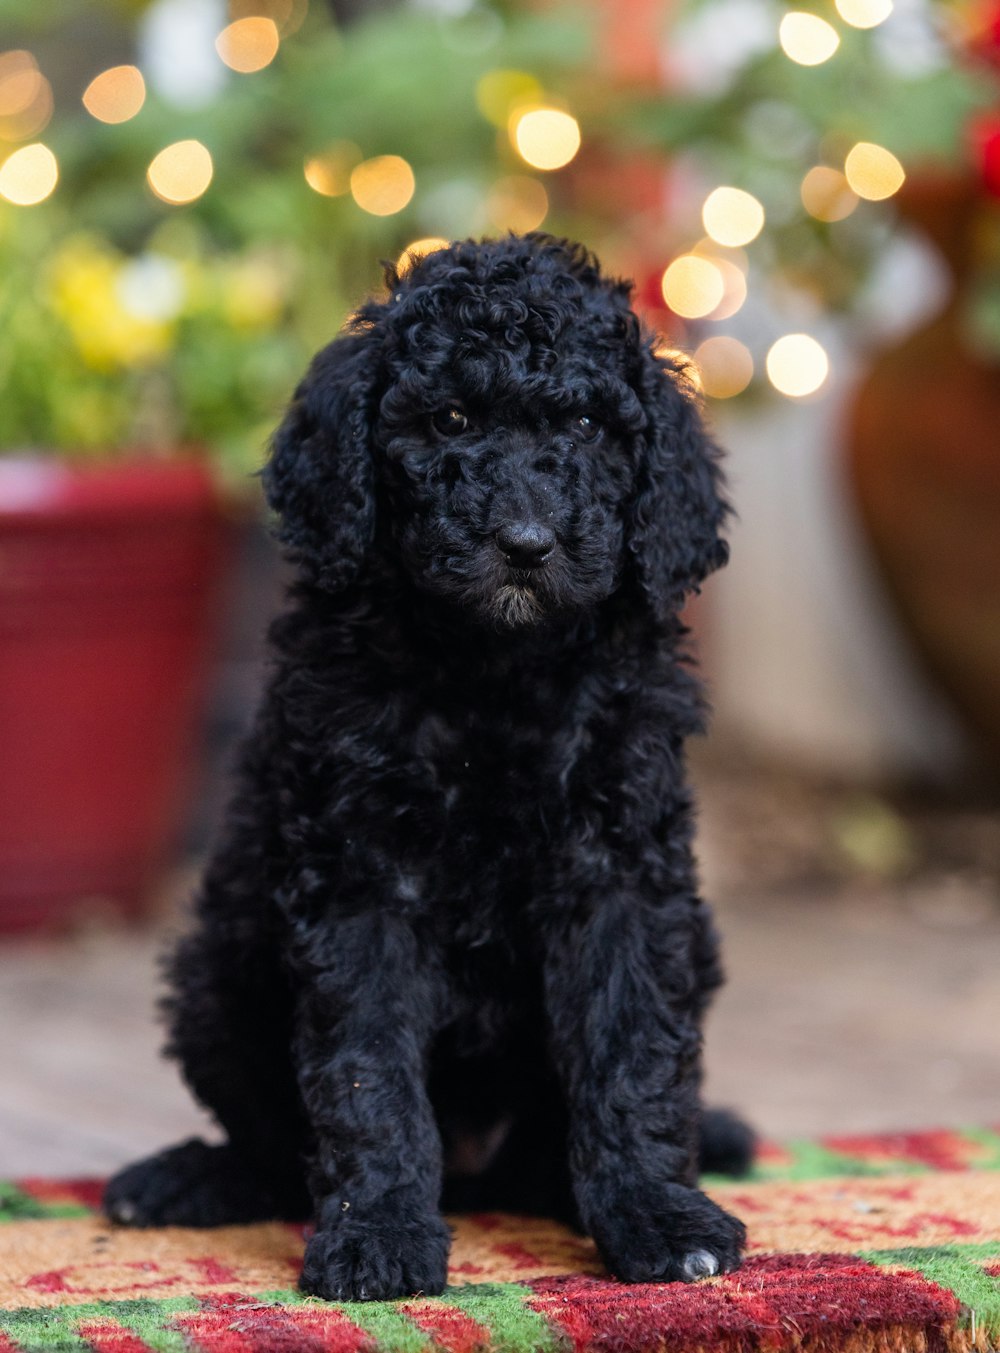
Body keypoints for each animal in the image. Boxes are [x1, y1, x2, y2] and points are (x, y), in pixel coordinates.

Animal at [107, 232, 752, 1298]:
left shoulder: (620, 873)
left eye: (586, 425)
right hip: (214, 973)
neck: (496, 673)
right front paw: (378, 1234)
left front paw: (658, 1215)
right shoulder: (360, 880)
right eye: (450, 420)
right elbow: (366, 1072)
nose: (526, 544)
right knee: (269, 1145)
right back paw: (186, 1179)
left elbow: (630, 1055)